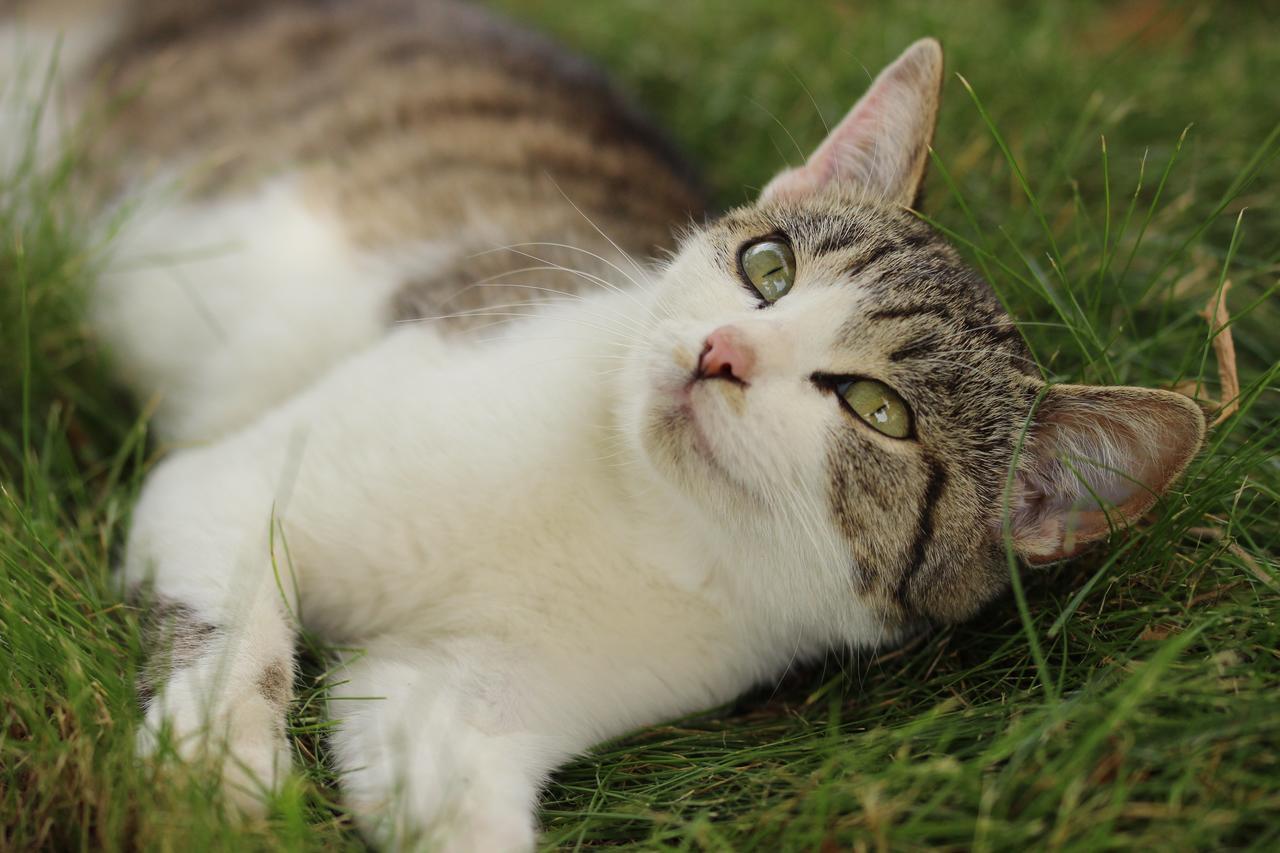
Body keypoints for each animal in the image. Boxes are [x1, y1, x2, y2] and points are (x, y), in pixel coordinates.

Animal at [0, 1, 1203, 850]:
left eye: (878, 410)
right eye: (767, 266)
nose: (723, 352)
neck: (627, 512)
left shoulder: (462, 691)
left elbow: (433, 770)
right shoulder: (235, 479)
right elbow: (239, 622)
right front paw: (214, 770)